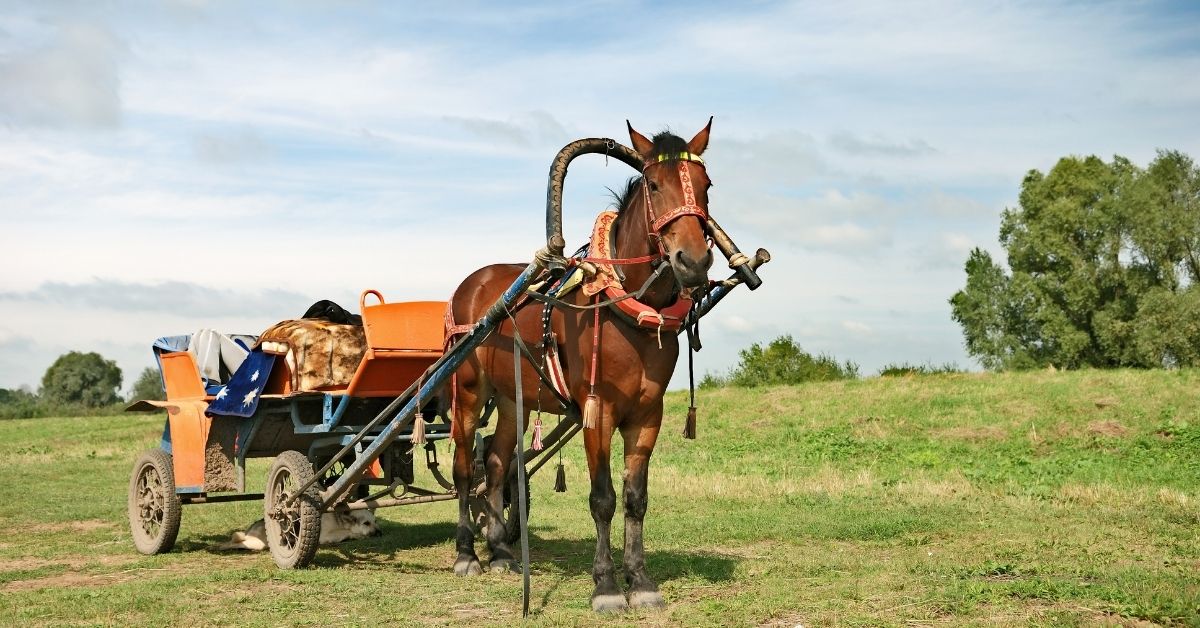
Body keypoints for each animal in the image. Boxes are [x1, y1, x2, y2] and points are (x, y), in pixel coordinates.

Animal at [448, 119, 710, 614]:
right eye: (653, 184)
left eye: (706, 186)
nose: (695, 260)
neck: (626, 306)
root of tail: (474, 283)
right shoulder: (598, 412)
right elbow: (603, 498)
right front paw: (606, 585)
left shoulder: (647, 416)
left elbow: (636, 499)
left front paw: (640, 580)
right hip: (469, 392)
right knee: (464, 469)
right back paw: (467, 553)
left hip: (512, 400)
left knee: (496, 463)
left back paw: (501, 550)